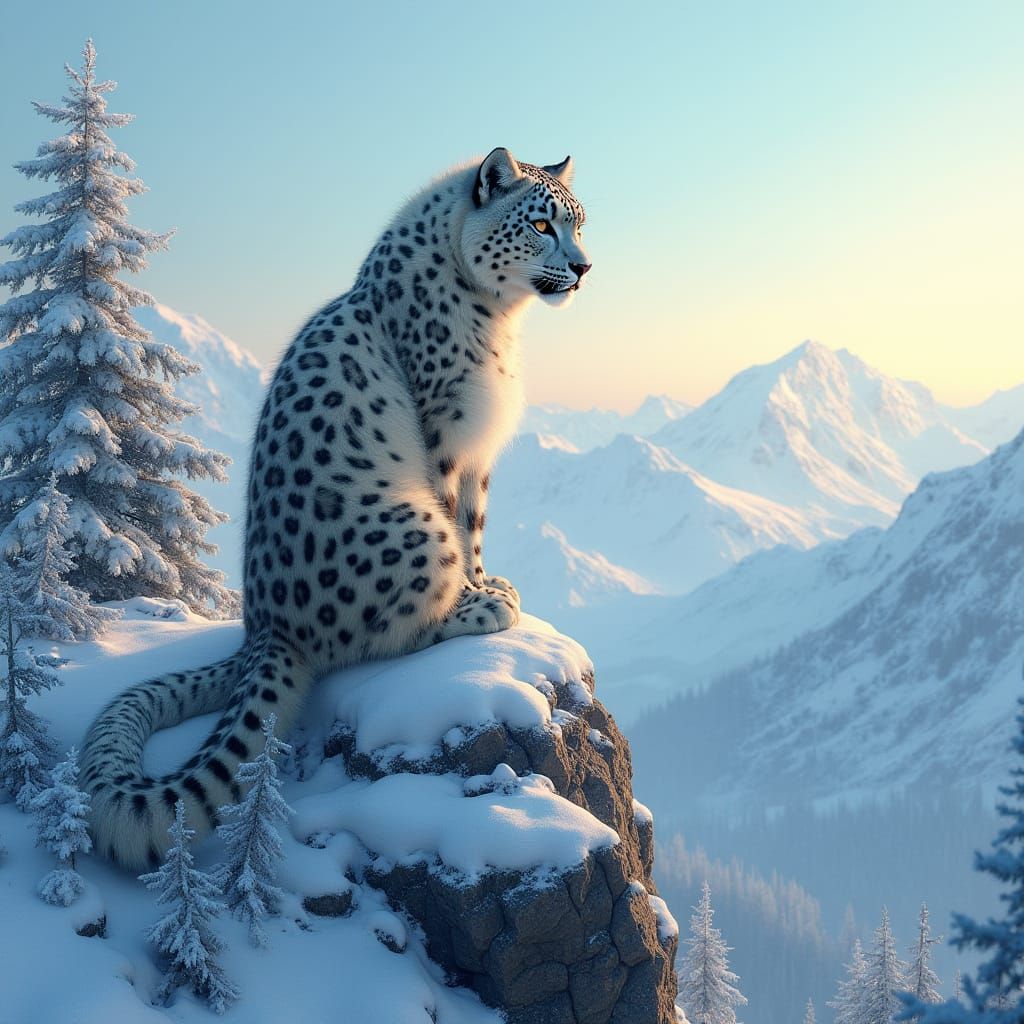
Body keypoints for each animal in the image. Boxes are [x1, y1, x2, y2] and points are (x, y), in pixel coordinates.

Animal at [79, 147, 591, 870]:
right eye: (542, 224)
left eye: (578, 222)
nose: (583, 267)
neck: (497, 318)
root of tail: (263, 626)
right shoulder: (447, 433)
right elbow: (458, 523)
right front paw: (478, 595)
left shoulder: (478, 454)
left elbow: (477, 524)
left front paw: (489, 577)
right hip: (411, 527)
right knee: (382, 634)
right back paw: (468, 614)